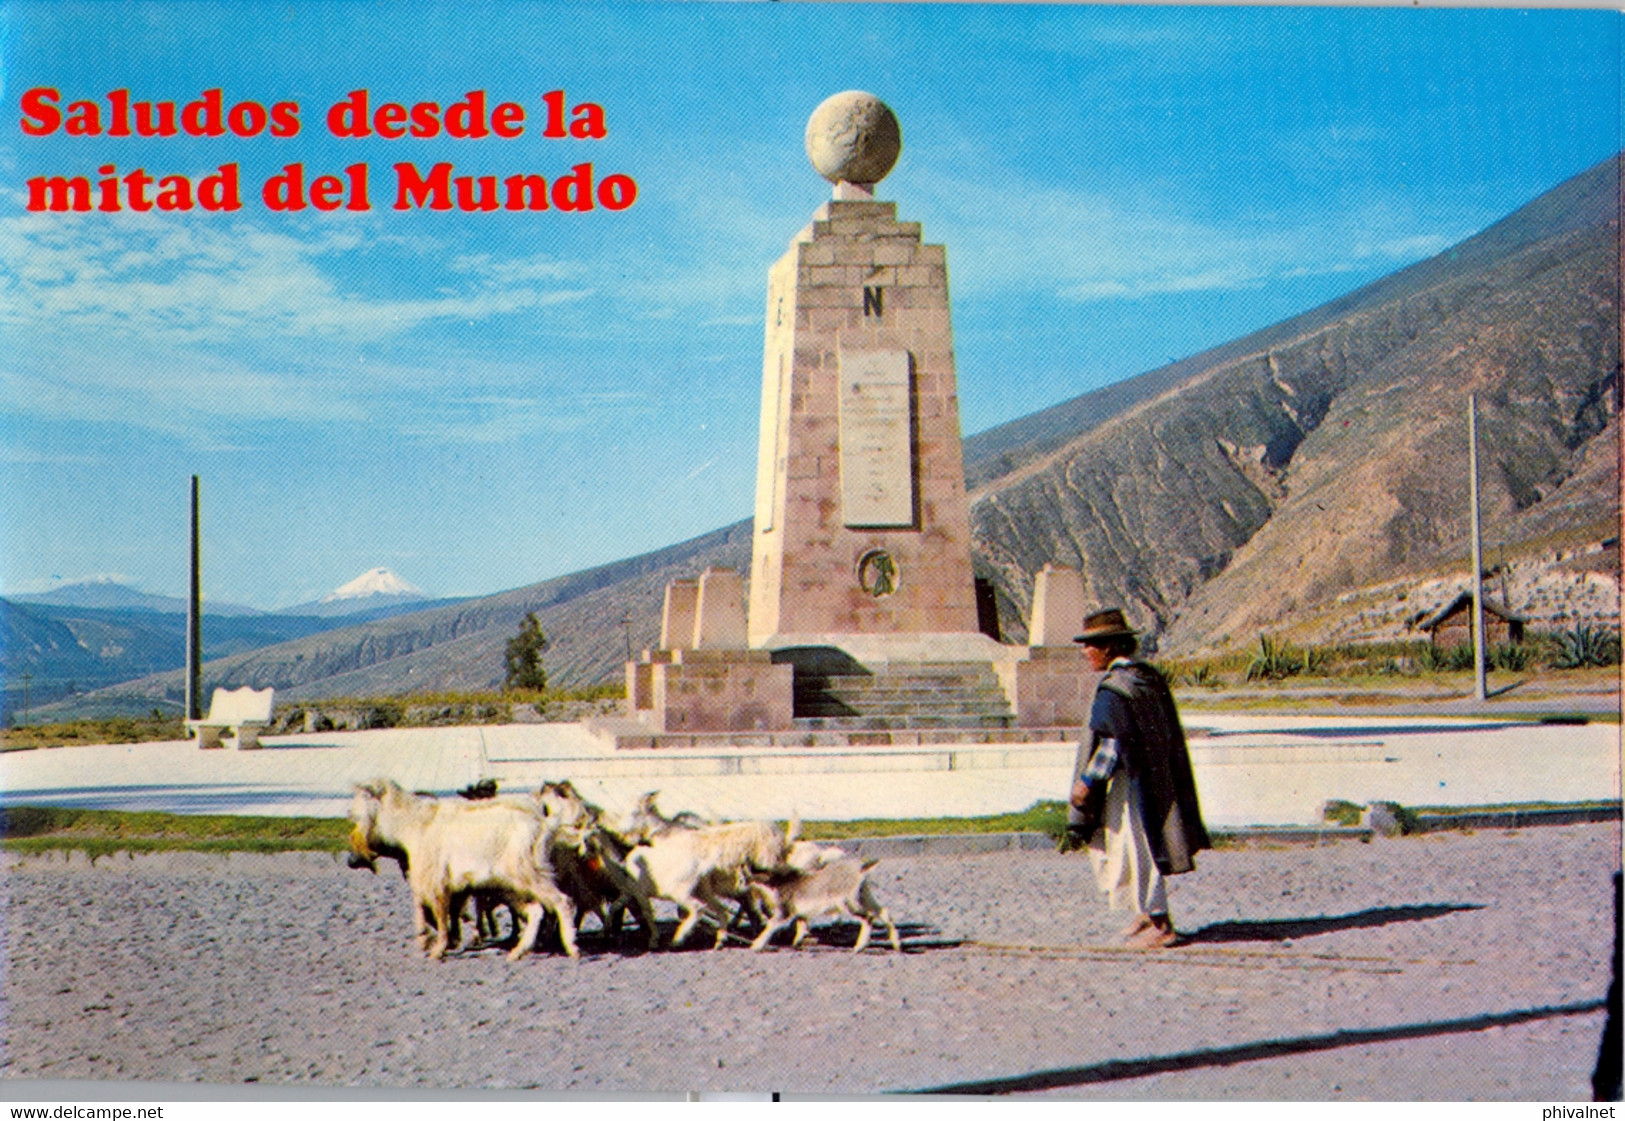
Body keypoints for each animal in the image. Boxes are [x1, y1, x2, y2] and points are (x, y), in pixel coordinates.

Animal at [747, 857, 903, 948]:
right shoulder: (801, 913)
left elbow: (771, 924)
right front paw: (796, 943)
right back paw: (896, 944)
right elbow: (801, 926)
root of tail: (861, 869)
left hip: (847, 903)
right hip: (864, 896)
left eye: (752, 878)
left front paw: (757, 944)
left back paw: (859, 947)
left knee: (868, 917)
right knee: (883, 912)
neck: (780, 883)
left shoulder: (784, 910)